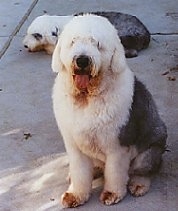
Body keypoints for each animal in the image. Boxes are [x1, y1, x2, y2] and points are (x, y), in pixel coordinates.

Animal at [51, 14, 167, 208]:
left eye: (97, 44)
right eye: (73, 41)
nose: (82, 60)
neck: (87, 99)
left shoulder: (118, 146)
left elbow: (115, 173)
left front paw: (112, 194)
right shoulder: (74, 145)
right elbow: (80, 172)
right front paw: (76, 195)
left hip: (150, 151)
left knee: (144, 170)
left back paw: (139, 184)